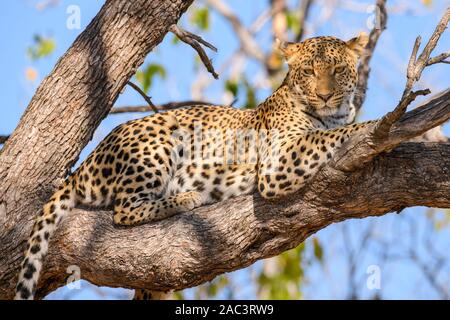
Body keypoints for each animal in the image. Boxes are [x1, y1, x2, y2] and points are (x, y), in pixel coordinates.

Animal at [13, 31, 376, 298]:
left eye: (337, 70)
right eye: (309, 71)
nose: (325, 96)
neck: (334, 113)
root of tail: (82, 167)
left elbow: (332, 132)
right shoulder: (277, 161)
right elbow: (332, 135)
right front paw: (374, 126)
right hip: (158, 138)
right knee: (124, 210)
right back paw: (186, 198)